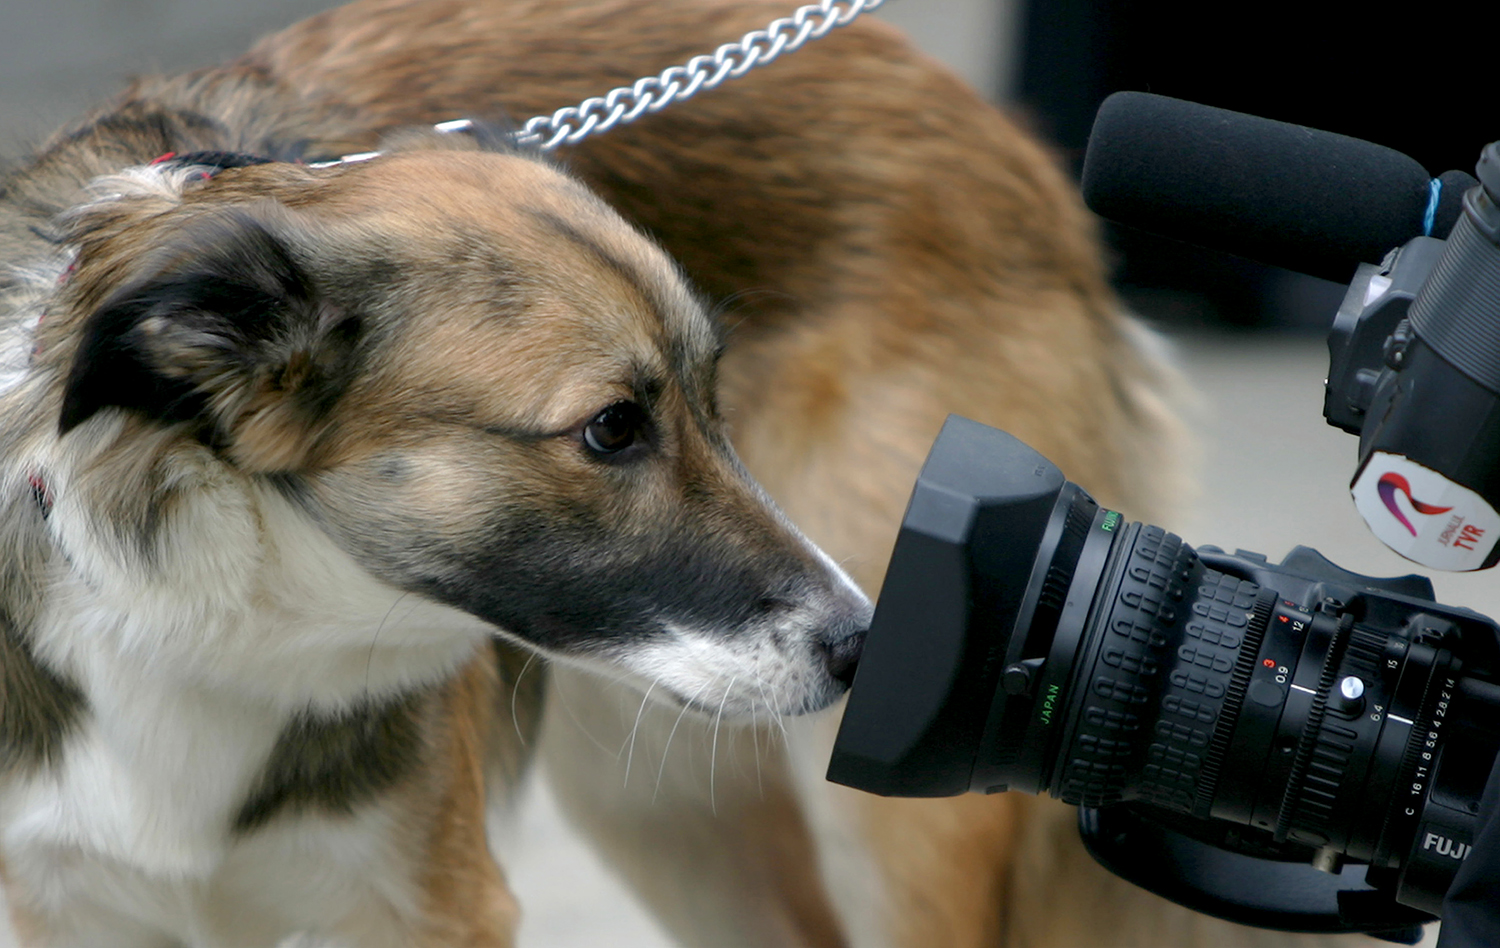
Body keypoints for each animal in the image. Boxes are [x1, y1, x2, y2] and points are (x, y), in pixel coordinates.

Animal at [0, 1, 1344, 948]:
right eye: (610, 431)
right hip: (674, 816)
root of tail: (996, 124)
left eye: (712, 394)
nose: (867, 646)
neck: (206, 617)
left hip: (895, 833)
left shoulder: (435, 907)